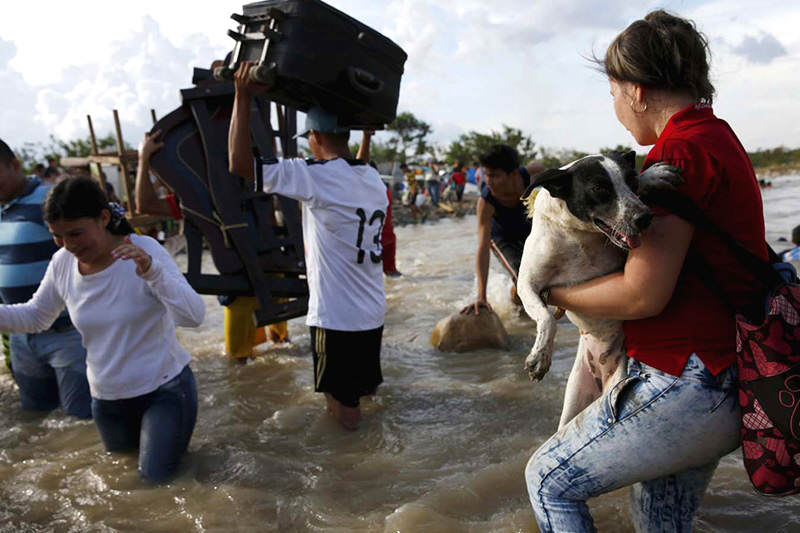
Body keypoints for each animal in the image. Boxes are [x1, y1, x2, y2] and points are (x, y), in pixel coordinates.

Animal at [512, 150, 680, 428]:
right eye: (599, 188)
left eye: (631, 180)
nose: (645, 218)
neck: (580, 235)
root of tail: (602, 374)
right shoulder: (526, 283)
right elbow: (548, 318)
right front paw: (540, 357)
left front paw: (651, 175)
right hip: (573, 402)